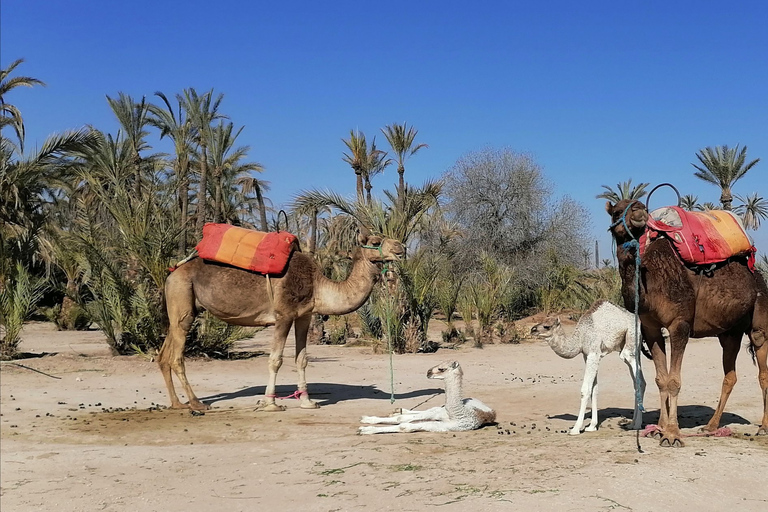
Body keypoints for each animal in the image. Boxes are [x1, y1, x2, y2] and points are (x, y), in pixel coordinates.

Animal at [159, 232, 404, 412]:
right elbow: (275, 360)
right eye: (375, 242)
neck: (318, 286)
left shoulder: (305, 315)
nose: (400, 246)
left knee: (164, 355)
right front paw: (270, 403)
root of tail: (172, 272)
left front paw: (307, 402)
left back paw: (176, 404)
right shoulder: (283, 315)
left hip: (181, 305)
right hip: (182, 295)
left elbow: (302, 359)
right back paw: (196, 403)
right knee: (177, 356)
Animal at [356, 362, 496, 434]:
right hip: (440, 411)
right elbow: (403, 420)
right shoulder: (442, 416)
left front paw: (365, 430)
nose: (428, 372)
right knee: (426, 411)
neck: (459, 413)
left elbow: (404, 426)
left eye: (441, 368)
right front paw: (366, 423)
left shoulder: (447, 426)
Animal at [532, 300, 644, 436]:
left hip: (630, 342)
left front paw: (575, 428)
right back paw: (631, 424)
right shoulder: (587, 355)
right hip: (631, 347)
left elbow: (585, 390)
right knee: (638, 382)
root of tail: (638, 321)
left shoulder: (593, 354)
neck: (581, 337)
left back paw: (637, 425)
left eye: (546, 326)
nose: (532, 330)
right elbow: (594, 389)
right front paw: (592, 426)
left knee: (638, 380)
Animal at [608, 198, 768, 446]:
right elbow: (661, 379)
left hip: (759, 319)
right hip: (730, 332)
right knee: (730, 375)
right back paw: (711, 426)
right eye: (616, 212)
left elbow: (674, 380)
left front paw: (672, 434)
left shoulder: (679, 324)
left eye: (642, 206)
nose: (638, 211)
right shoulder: (650, 328)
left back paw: (763, 427)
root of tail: (758, 275)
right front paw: (658, 428)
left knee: (763, 371)